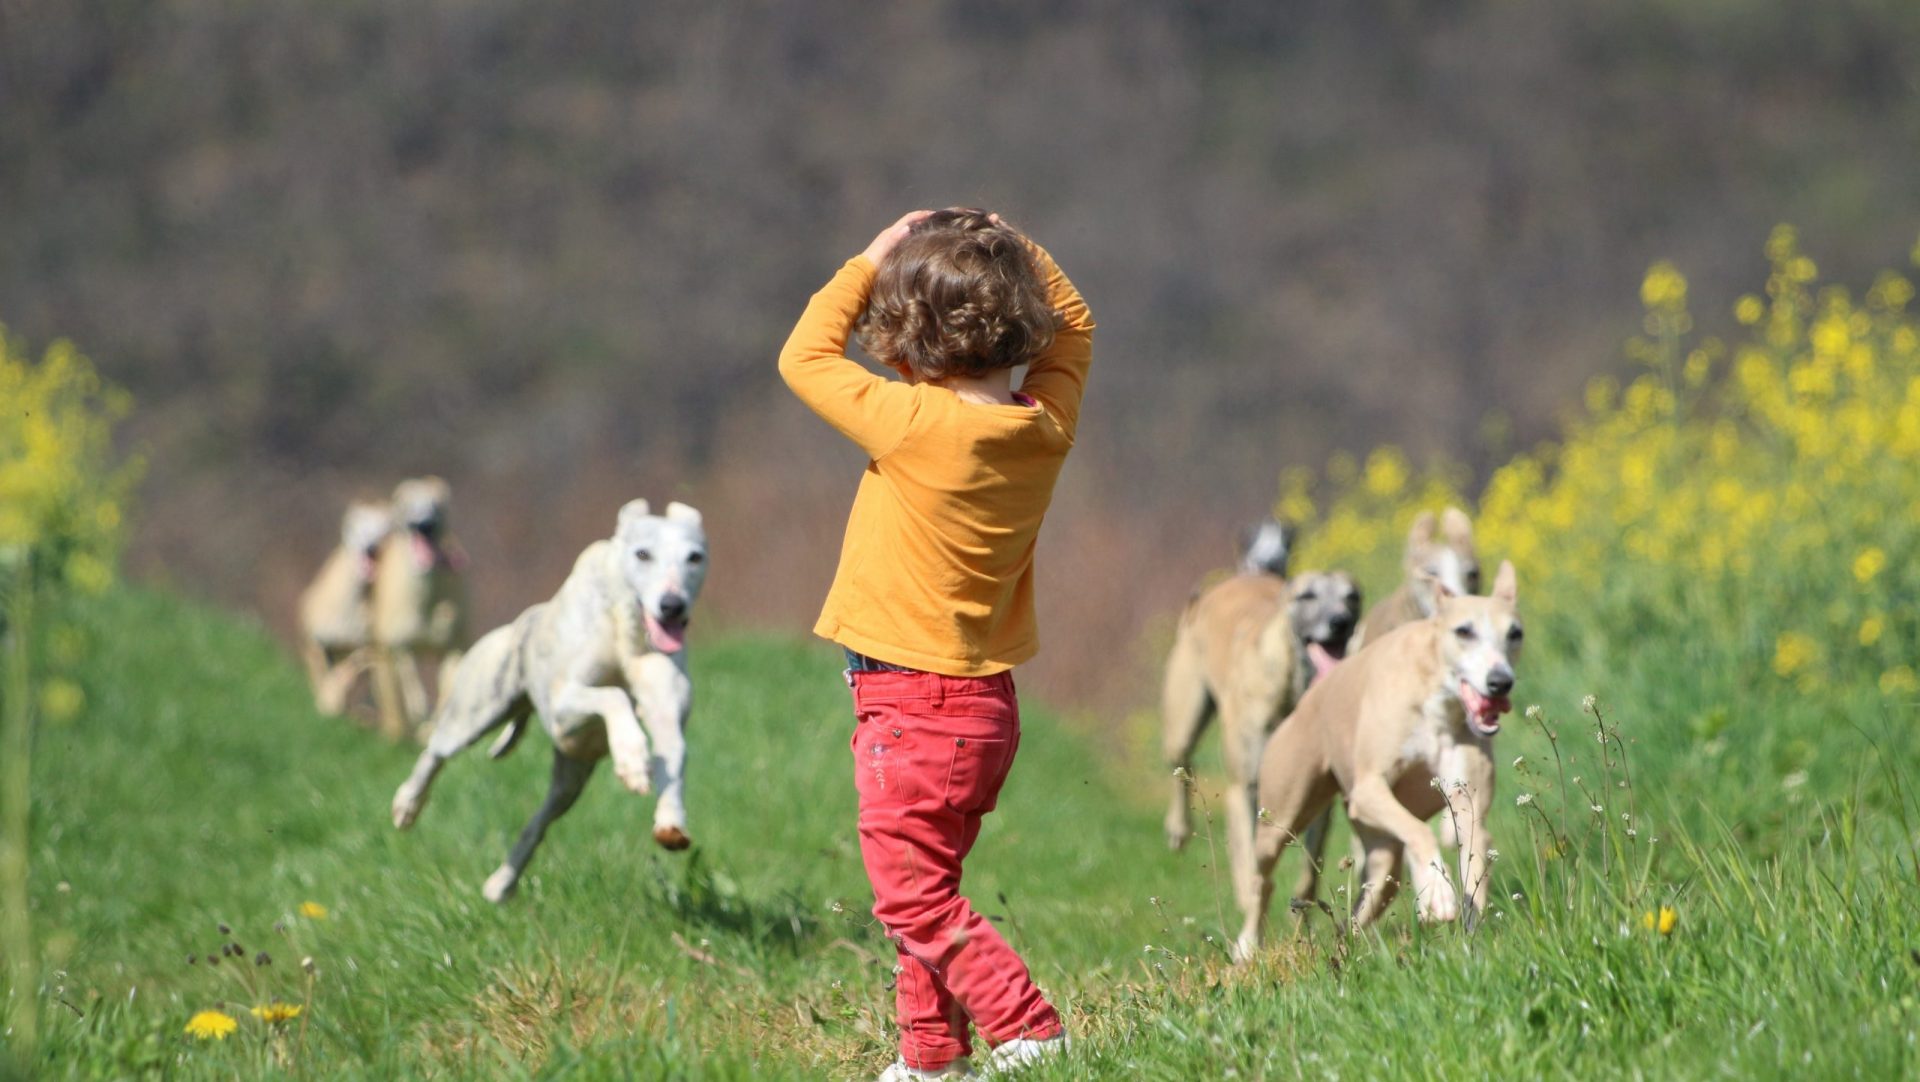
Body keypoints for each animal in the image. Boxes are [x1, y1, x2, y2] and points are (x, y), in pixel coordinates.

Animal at [293, 498, 391, 717]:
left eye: (385, 530)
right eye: (360, 526)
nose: (372, 548)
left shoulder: (365, 649)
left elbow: (349, 672)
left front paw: (331, 705)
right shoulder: (314, 641)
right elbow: (319, 673)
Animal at [370, 477, 468, 740]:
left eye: (437, 504)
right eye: (405, 504)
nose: (424, 525)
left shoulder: (455, 645)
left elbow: (449, 686)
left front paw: (433, 724)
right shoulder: (399, 644)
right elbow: (410, 681)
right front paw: (419, 711)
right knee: (390, 687)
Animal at [1152, 575, 1367, 955]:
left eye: (1352, 596)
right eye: (1307, 596)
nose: (1340, 622)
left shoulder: (1318, 799)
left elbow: (1309, 873)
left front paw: (1301, 926)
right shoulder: (1245, 788)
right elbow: (1254, 871)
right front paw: (1250, 935)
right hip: (1183, 716)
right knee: (1182, 764)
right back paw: (1178, 828)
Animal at [1236, 556, 1520, 955]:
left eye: (1515, 633)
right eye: (1464, 631)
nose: (1500, 681)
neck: (1435, 697)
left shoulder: (1468, 803)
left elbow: (1471, 856)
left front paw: (1468, 937)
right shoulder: (1368, 790)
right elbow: (1419, 830)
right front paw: (1437, 893)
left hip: (1379, 852)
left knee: (1371, 894)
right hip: (1282, 813)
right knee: (1263, 877)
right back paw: (1246, 945)